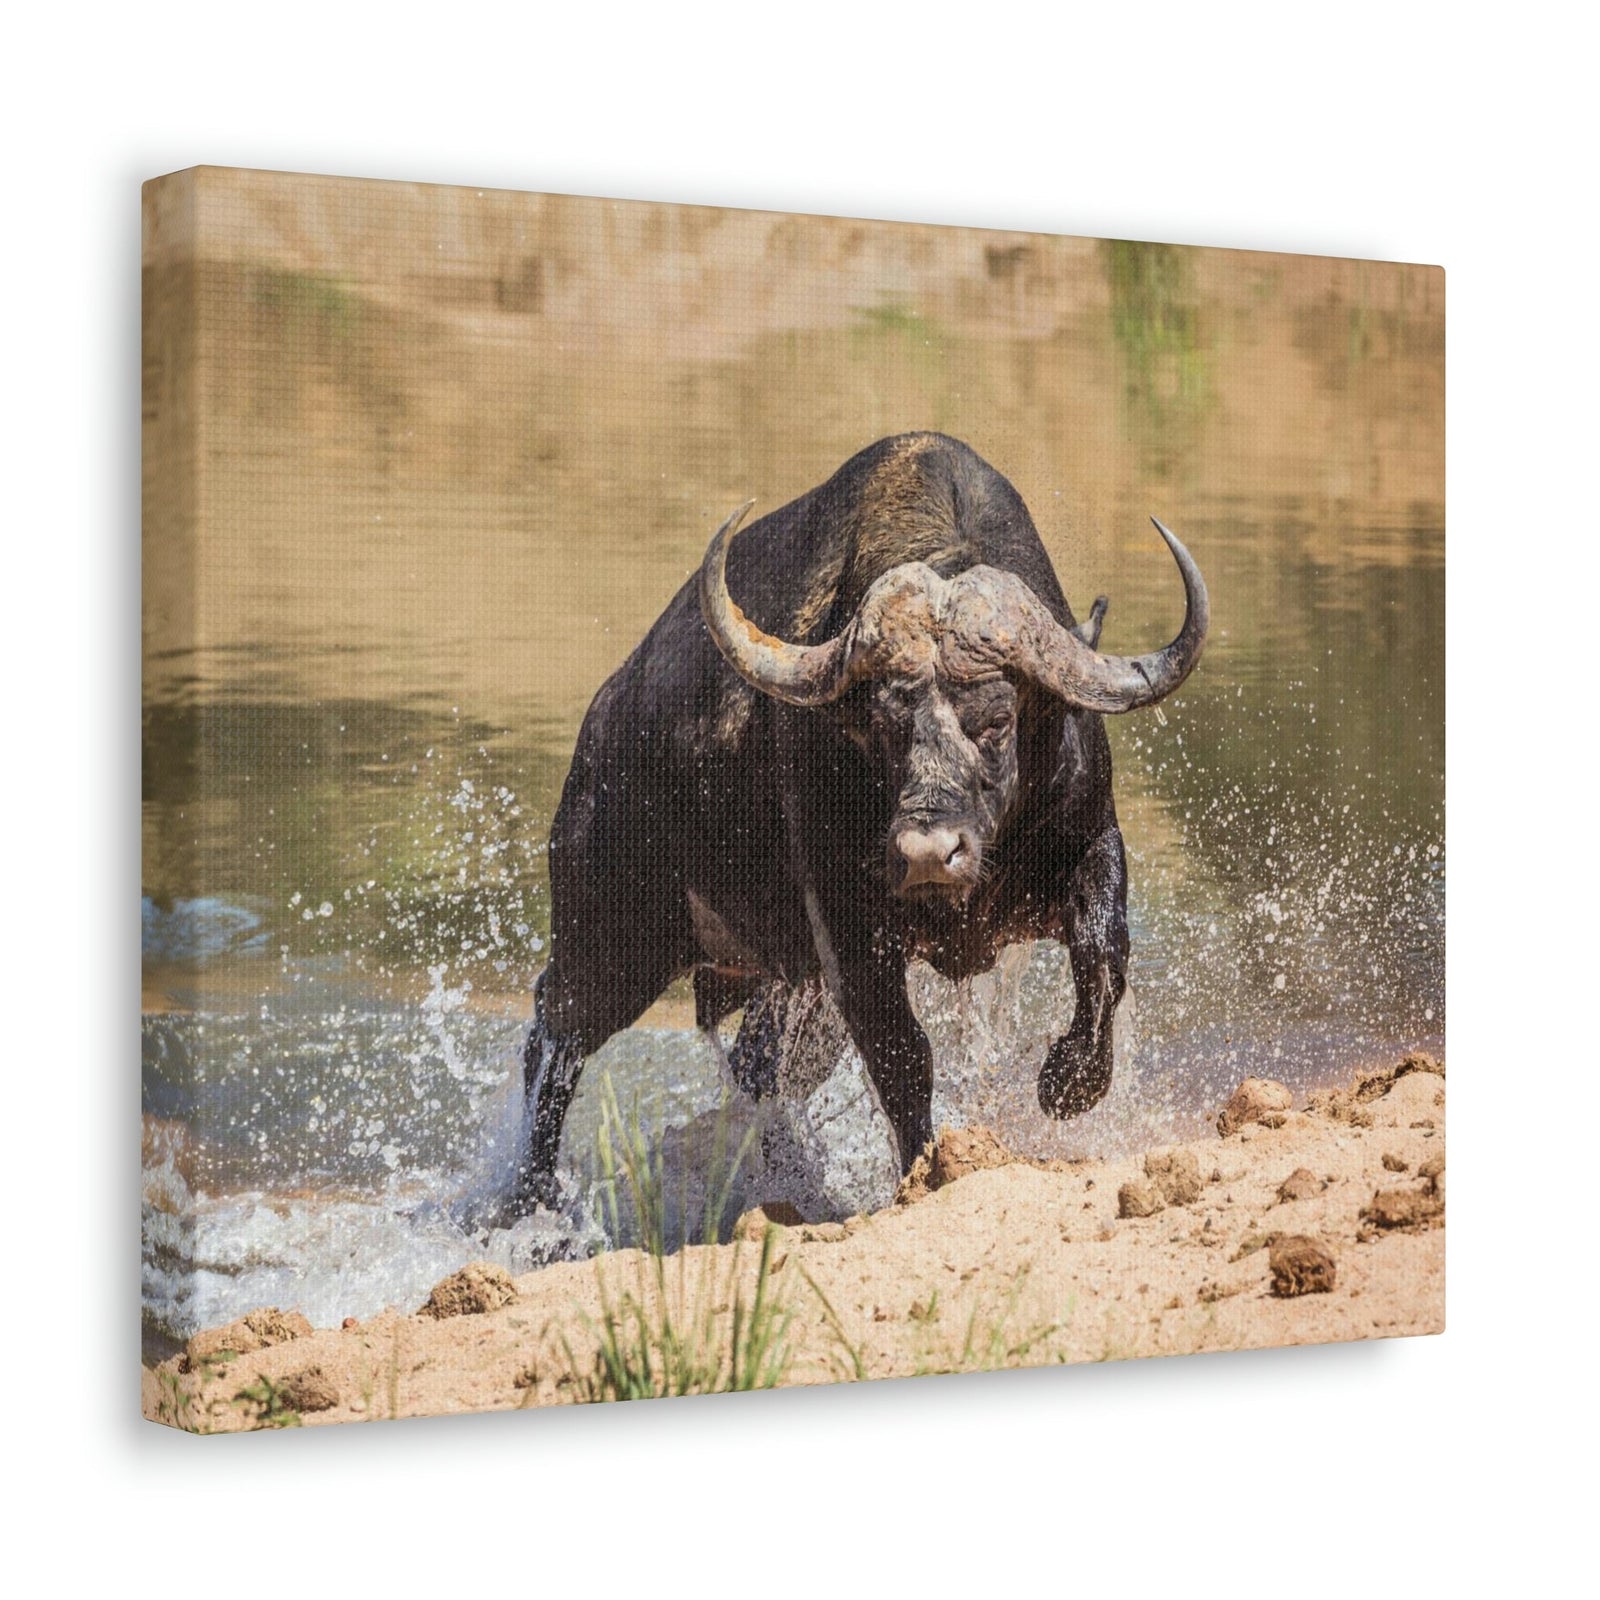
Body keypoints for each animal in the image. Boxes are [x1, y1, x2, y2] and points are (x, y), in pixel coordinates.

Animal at [516, 433, 1207, 1209]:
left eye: (997, 719)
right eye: (881, 726)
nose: (929, 852)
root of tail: (603, 723)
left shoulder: (1090, 843)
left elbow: (1102, 955)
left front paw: (1069, 1083)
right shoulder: (848, 927)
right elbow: (902, 1054)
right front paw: (926, 1168)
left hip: (781, 982)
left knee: (757, 1065)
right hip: (611, 937)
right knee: (555, 1038)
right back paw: (529, 1201)